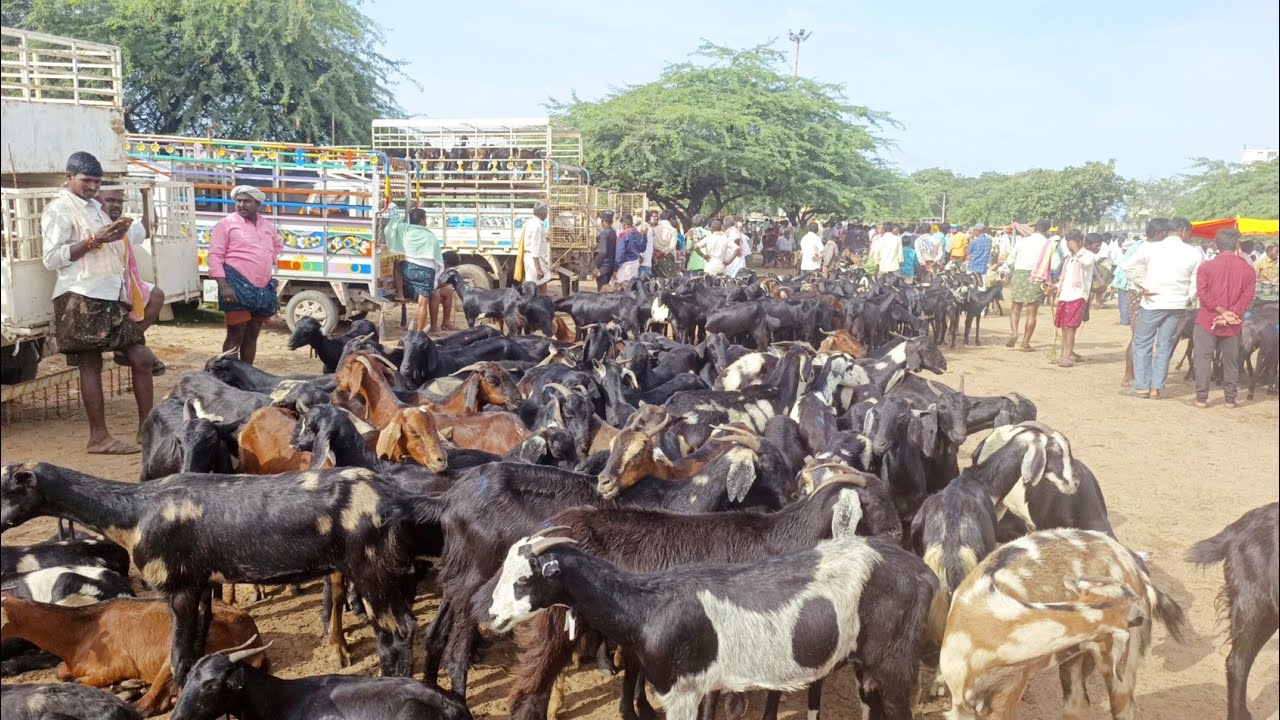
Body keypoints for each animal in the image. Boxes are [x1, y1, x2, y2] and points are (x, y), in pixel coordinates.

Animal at [0, 463, 422, 684]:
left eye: (6, 488)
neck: (134, 510)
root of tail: (393, 498)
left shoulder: (179, 588)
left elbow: (179, 658)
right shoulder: (201, 585)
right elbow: (196, 650)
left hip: (371, 571)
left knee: (396, 633)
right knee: (402, 628)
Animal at [0, 593, 264, 716]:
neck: (80, 631)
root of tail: (251, 628)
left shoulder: (115, 666)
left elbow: (76, 681)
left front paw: (125, 685)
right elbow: (60, 673)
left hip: (174, 655)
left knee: (147, 705)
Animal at [490, 527, 936, 720]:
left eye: (523, 579)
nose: (492, 616)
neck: (647, 606)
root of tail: (922, 573)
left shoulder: (681, 691)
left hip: (896, 664)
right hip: (867, 667)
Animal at [940, 529, 1187, 720]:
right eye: (1134, 615)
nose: (1142, 610)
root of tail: (1137, 571)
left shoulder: (1009, 693)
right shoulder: (960, 703)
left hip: (1119, 669)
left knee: (1122, 708)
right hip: (1076, 659)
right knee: (1077, 705)